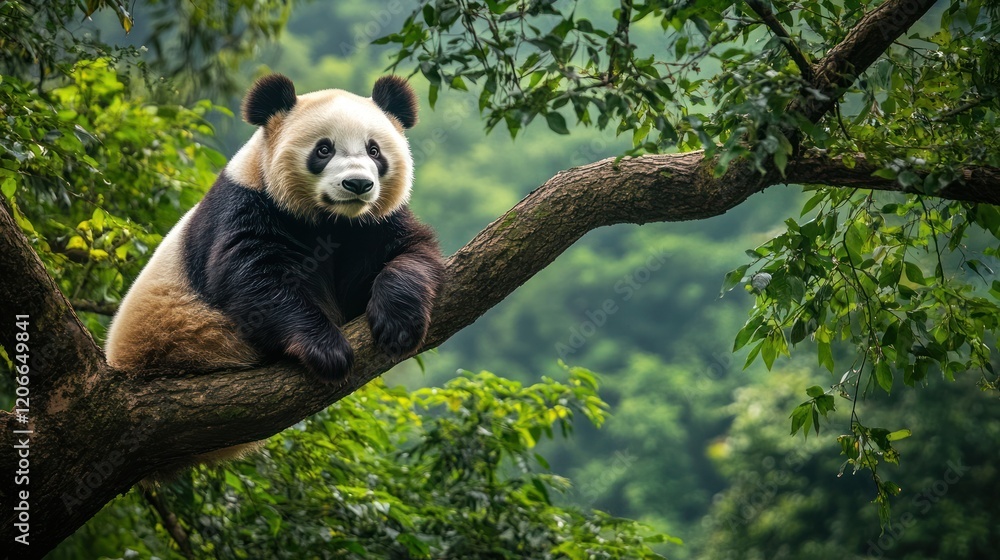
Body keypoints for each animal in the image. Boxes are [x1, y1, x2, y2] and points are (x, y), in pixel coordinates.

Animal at [105, 74, 444, 476]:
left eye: (374, 150)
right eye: (324, 149)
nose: (358, 184)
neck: (331, 220)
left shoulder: (372, 224)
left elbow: (412, 252)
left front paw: (397, 322)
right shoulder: (247, 204)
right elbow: (255, 280)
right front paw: (326, 350)